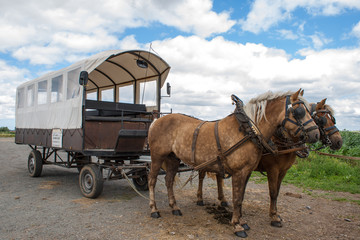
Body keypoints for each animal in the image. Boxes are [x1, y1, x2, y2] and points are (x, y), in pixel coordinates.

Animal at [148, 88, 320, 238]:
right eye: (299, 111)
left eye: (311, 111)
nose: (316, 134)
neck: (248, 130)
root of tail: (156, 121)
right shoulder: (241, 172)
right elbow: (237, 198)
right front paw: (237, 226)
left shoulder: (248, 172)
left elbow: (241, 197)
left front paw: (242, 222)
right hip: (157, 157)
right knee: (152, 181)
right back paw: (154, 209)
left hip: (172, 158)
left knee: (169, 180)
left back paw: (174, 207)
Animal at [195, 96, 342, 228]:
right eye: (322, 119)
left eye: (332, 119)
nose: (339, 142)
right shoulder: (272, 169)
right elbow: (272, 192)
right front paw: (273, 217)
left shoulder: (282, 171)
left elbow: (275, 192)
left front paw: (273, 215)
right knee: (201, 176)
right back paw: (200, 198)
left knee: (219, 177)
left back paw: (222, 200)